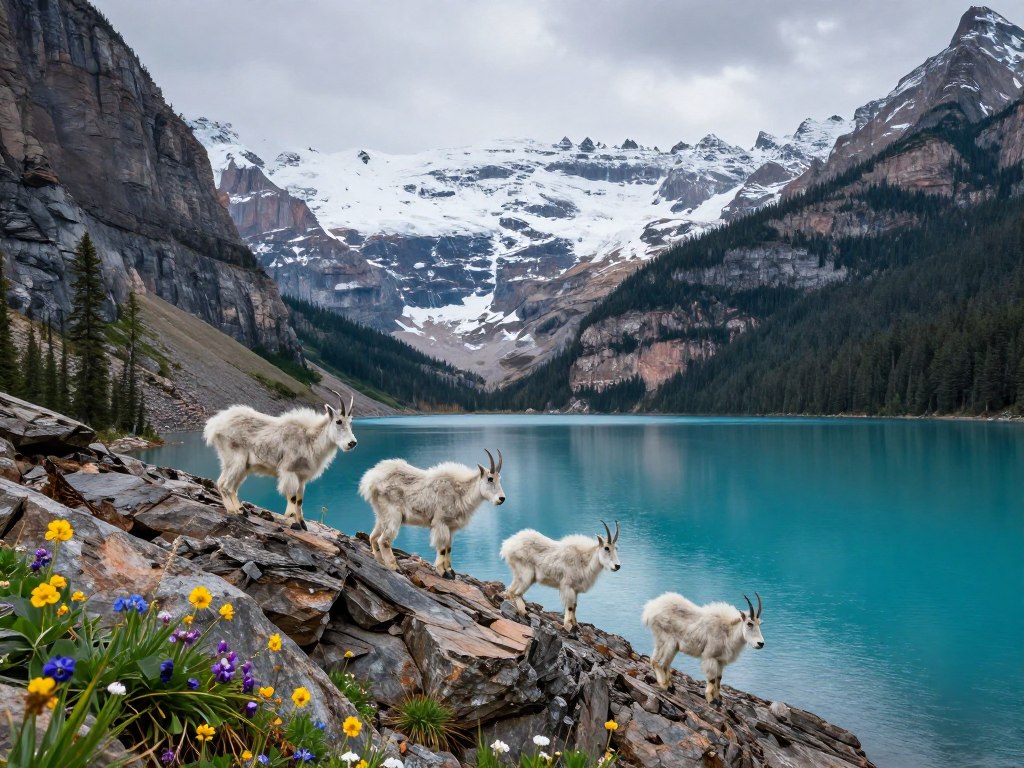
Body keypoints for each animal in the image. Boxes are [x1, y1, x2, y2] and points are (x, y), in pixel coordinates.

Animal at [203, 389, 357, 530]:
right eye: (338, 421)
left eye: (351, 423)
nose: (352, 443)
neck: (310, 438)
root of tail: (215, 424)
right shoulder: (289, 471)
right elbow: (292, 497)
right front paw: (293, 522)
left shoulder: (301, 477)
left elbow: (300, 500)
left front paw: (303, 524)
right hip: (235, 458)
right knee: (223, 484)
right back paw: (233, 510)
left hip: (243, 465)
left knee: (233, 488)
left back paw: (242, 510)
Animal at [359, 449, 506, 579]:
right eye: (490, 479)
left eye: (500, 478)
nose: (501, 499)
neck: (460, 491)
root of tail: (370, 481)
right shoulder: (440, 522)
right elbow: (442, 548)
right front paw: (443, 572)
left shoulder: (450, 527)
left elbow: (449, 547)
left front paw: (450, 572)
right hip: (394, 514)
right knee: (383, 540)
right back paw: (394, 567)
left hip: (381, 514)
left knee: (373, 536)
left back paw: (380, 561)